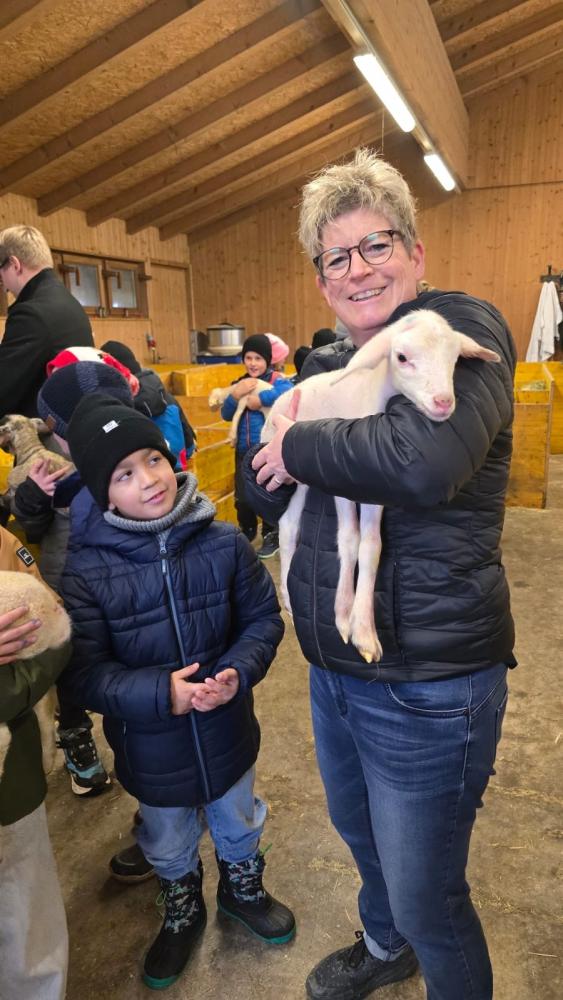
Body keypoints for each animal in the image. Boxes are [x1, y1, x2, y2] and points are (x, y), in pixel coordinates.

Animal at [261, 309, 501, 664]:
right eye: (401, 357)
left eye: (455, 358)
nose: (443, 402)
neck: (373, 391)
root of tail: (285, 395)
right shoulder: (342, 482)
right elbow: (349, 538)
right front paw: (349, 619)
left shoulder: (370, 486)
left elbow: (371, 545)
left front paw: (358, 625)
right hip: (283, 467)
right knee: (289, 527)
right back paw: (289, 597)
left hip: (297, 477)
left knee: (291, 524)